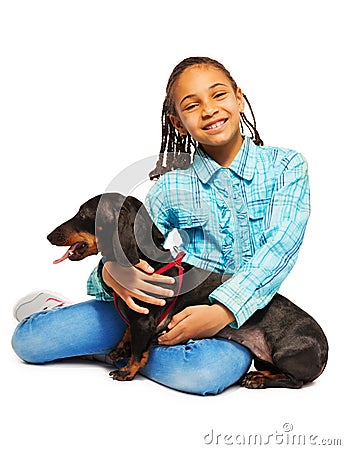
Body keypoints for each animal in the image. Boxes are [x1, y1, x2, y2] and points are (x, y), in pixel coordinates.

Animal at [46, 192, 328, 386]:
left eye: (84, 213)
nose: (49, 236)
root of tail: (325, 350)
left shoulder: (144, 322)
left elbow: (139, 351)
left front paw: (126, 371)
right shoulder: (136, 319)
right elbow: (127, 333)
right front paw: (118, 349)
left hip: (285, 353)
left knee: (295, 381)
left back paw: (258, 380)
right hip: (264, 357)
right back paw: (256, 377)